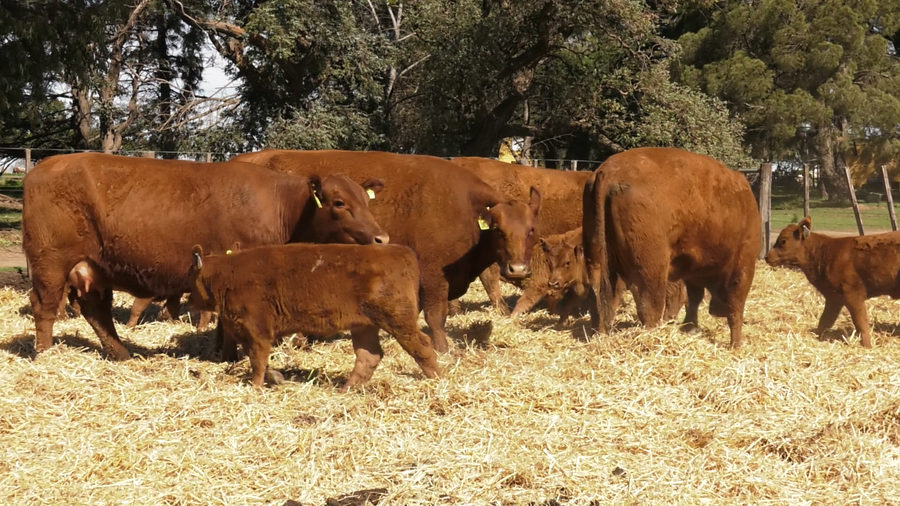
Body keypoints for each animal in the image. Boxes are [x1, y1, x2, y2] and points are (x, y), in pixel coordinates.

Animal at [23, 152, 388, 360]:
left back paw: (123, 354)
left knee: (96, 312)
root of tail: (44, 165)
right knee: (45, 307)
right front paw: (230, 355)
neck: (283, 208)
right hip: (50, 262)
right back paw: (46, 356)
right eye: (339, 203)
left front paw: (222, 352)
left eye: (366, 200)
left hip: (93, 269)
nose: (381, 238)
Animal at [187, 243, 441, 391]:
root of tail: (401, 251)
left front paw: (256, 387)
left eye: (190, 276)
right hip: (365, 326)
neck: (226, 274)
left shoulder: (257, 330)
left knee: (422, 346)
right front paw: (276, 377)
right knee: (369, 356)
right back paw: (346, 389)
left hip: (399, 321)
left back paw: (439, 379)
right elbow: (260, 361)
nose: (189, 300)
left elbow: (258, 361)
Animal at [230, 149, 541, 354]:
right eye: (498, 229)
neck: (463, 205)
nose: (518, 269)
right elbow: (436, 316)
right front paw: (443, 349)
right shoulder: (434, 275)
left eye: (531, 230)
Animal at [583, 147, 760, 348]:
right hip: (652, 271)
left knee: (602, 301)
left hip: (597, 260)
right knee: (649, 306)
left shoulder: (693, 270)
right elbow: (735, 307)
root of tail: (609, 171)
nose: (717, 310)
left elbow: (694, 298)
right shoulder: (743, 266)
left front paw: (690, 328)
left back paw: (601, 335)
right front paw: (735, 345)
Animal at [765, 216, 900, 348]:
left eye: (783, 241)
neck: (826, 253)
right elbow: (825, 321)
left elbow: (860, 322)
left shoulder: (853, 294)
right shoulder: (833, 297)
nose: (767, 257)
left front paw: (867, 346)